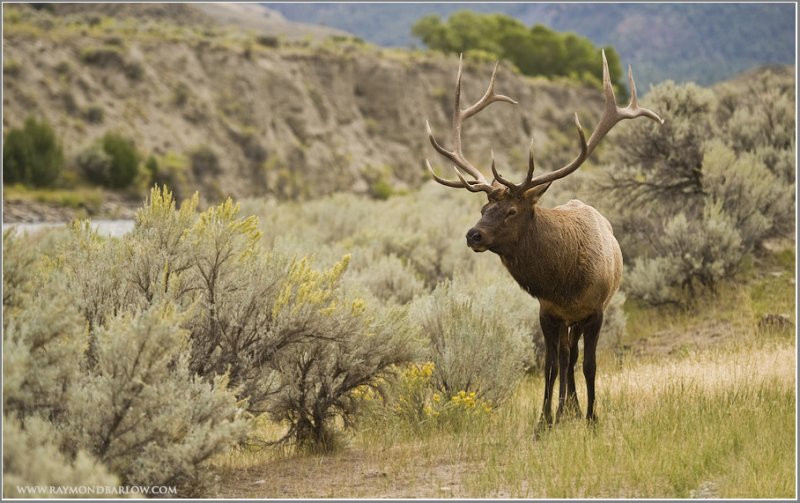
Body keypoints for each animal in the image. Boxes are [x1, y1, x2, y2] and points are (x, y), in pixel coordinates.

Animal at [424, 52, 664, 430]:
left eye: (510, 210)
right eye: (484, 207)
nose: (473, 234)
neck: (562, 282)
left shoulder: (595, 311)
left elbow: (590, 365)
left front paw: (592, 419)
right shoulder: (546, 313)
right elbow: (550, 367)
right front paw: (544, 422)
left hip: (581, 318)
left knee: (574, 356)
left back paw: (576, 409)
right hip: (565, 322)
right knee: (565, 356)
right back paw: (566, 408)